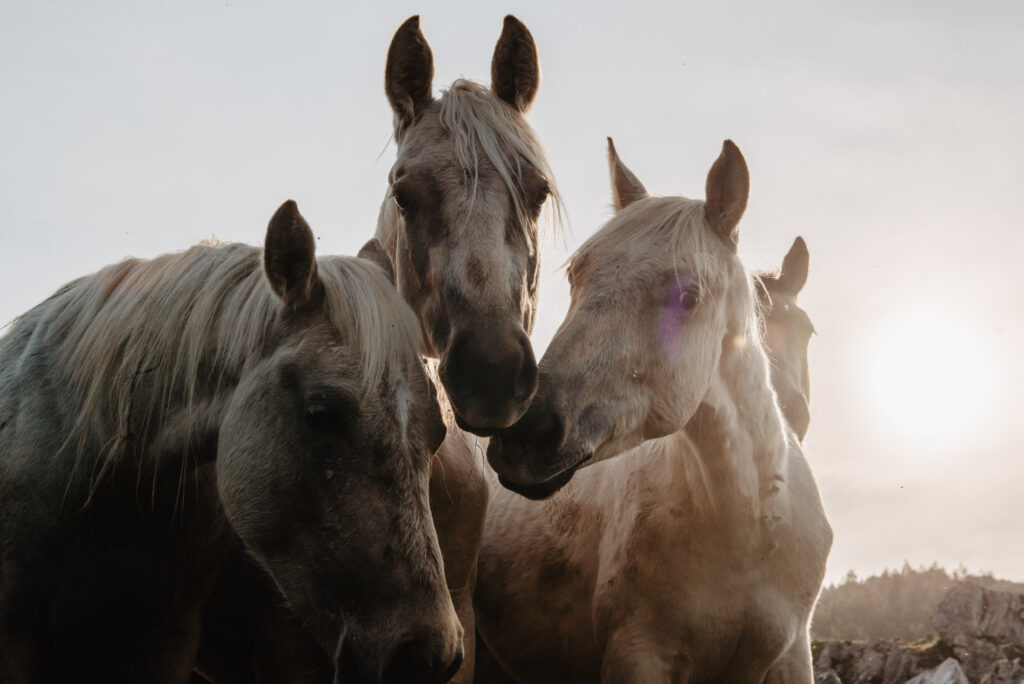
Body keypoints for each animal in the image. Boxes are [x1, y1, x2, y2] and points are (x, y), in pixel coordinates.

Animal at [478, 139, 832, 683]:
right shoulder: (639, 653)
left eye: (688, 296)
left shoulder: (792, 655)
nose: (524, 434)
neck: (749, 527)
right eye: (576, 275)